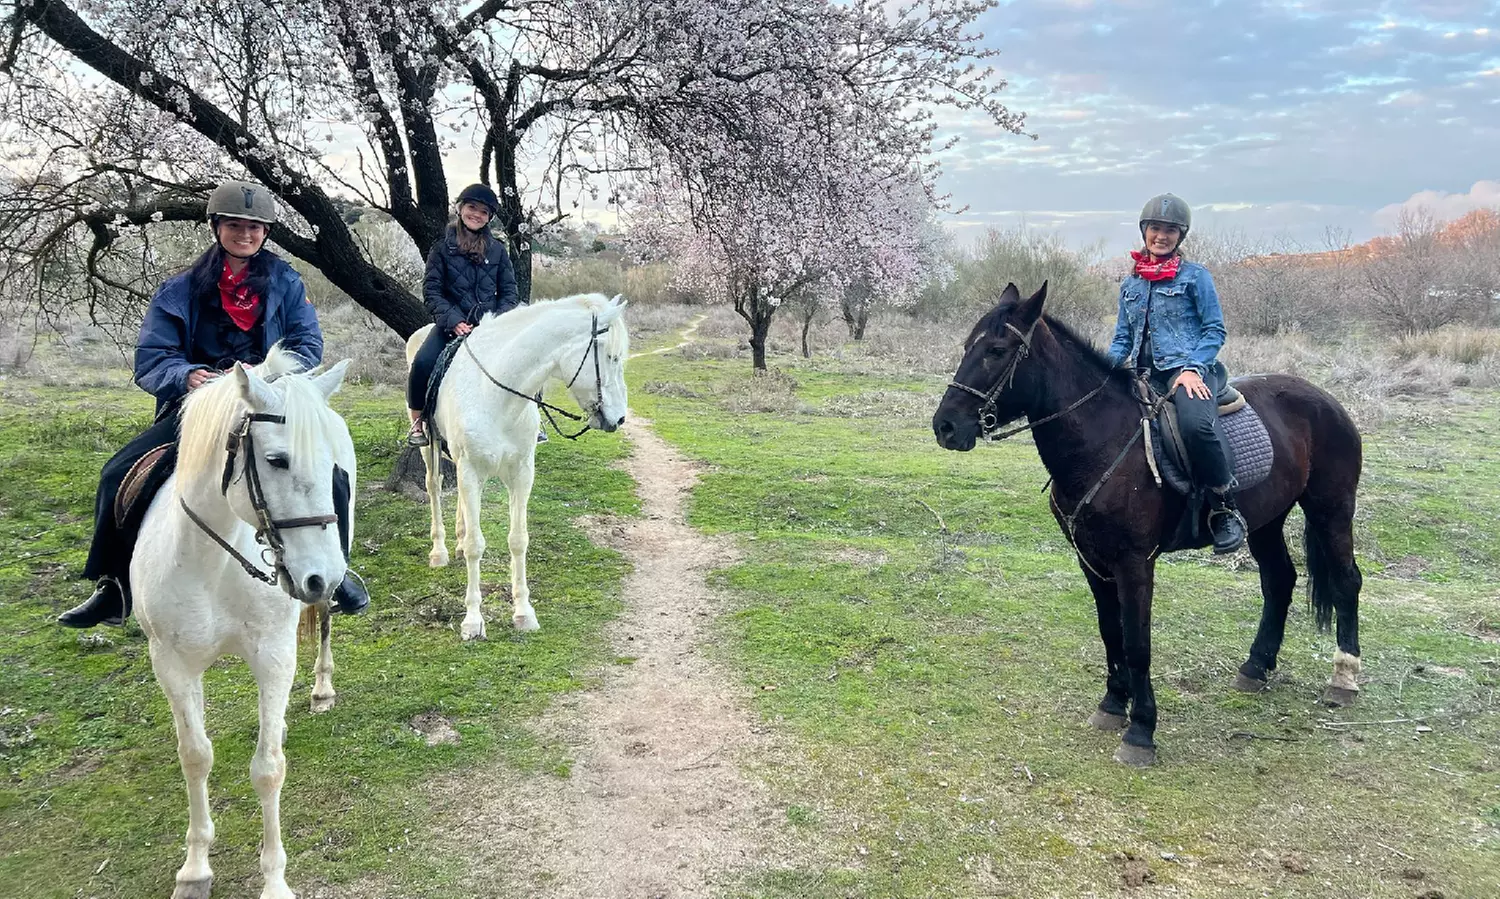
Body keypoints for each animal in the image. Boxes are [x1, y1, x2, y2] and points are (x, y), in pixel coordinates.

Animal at [132, 348, 355, 899]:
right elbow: (195, 755)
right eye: (277, 460)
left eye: (332, 466)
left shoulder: (272, 654)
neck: (212, 561)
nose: (321, 576)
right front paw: (194, 868)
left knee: (323, 624)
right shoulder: (171, 664)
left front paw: (274, 880)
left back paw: (321, 688)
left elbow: (269, 768)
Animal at [405, 292, 629, 641]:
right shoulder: (471, 471)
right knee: (434, 487)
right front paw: (472, 620)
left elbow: (518, 540)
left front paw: (524, 613)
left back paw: (456, 542)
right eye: (611, 357)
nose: (619, 418)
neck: (497, 397)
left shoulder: (522, 474)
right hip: (430, 447)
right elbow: (477, 545)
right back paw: (439, 551)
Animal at [931, 283, 1364, 767]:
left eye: (996, 350)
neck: (1102, 441)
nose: (945, 426)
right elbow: (1111, 633)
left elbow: (1138, 644)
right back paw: (1256, 667)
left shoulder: (1135, 563)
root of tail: (1325, 399)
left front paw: (1141, 730)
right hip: (1266, 521)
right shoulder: (1091, 560)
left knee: (1346, 581)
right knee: (1279, 581)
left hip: (1331, 509)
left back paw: (1343, 678)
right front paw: (1112, 704)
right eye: (967, 346)